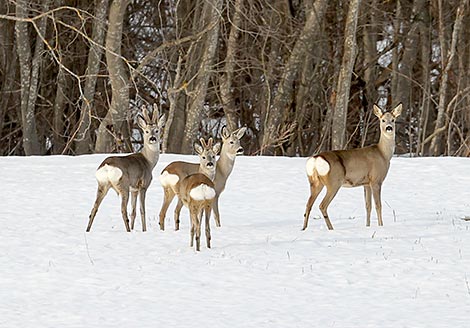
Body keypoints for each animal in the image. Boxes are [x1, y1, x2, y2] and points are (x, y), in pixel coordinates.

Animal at [86, 104, 165, 232]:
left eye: (157, 130)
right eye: (146, 131)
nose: (152, 138)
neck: (149, 161)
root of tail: (107, 166)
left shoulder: (134, 189)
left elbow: (133, 212)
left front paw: (134, 229)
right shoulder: (143, 185)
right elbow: (142, 210)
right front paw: (143, 230)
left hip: (102, 184)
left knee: (94, 208)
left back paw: (87, 230)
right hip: (123, 185)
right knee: (123, 210)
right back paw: (127, 230)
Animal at [302, 103, 402, 231]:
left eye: (393, 120)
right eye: (382, 120)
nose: (389, 127)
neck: (383, 154)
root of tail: (315, 159)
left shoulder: (366, 183)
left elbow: (368, 206)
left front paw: (367, 226)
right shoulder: (376, 180)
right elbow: (378, 205)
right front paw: (381, 225)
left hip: (315, 182)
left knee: (308, 204)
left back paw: (304, 228)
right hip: (333, 182)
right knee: (322, 205)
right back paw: (331, 228)